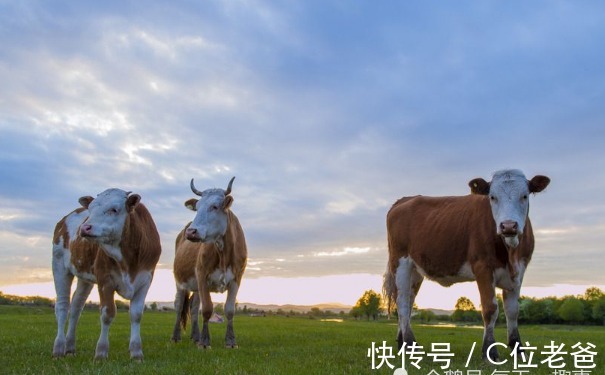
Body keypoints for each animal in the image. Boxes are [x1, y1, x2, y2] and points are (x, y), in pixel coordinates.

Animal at [51, 189, 160, 362]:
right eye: (90, 210)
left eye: (114, 209)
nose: (84, 228)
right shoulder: (105, 280)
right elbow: (107, 313)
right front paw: (101, 352)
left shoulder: (145, 280)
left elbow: (136, 314)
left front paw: (136, 353)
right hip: (59, 266)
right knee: (62, 307)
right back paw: (59, 348)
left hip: (85, 278)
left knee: (76, 307)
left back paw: (70, 348)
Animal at [171, 178, 247, 350]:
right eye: (197, 208)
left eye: (215, 206)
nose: (191, 232)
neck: (224, 253)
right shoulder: (201, 274)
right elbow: (206, 309)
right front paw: (205, 342)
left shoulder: (236, 278)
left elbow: (230, 310)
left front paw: (230, 341)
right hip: (180, 282)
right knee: (179, 306)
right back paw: (176, 336)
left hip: (196, 288)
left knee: (193, 308)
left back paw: (195, 336)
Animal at [384, 170, 548, 362]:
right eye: (492, 197)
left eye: (524, 196)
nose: (508, 226)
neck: (510, 252)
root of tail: (404, 199)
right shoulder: (483, 268)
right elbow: (490, 309)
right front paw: (490, 352)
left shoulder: (519, 271)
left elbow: (513, 311)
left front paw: (518, 350)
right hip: (400, 262)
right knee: (402, 303)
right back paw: (410, 345)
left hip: (415, 270)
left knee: (409, 302)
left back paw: (403, 344)